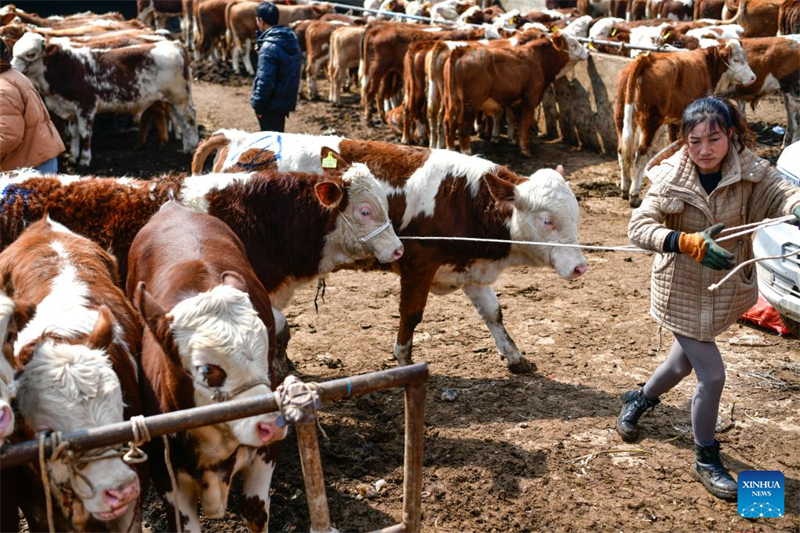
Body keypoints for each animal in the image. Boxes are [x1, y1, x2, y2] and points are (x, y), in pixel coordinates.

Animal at [11, 31, 198, 164]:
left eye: (31, 54)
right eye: (13, 51)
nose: (12, 68)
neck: (68, 68)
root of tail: (175, 44)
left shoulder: (86, 106)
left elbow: (85, 133)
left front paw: (85, 159)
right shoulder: (70, 109)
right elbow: (73, 133)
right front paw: (73, 156)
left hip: (180, 96)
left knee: (189, 119)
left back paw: (194, 147)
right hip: (172, 99)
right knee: (181, 120)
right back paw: (187, 147)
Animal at [126, 201, 286, 532]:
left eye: (265, 351)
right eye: (206, 370)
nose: (271, 424)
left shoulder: (265, 454)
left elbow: (254, 511)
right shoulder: (166, 477)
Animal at [188, 132, 588, 374]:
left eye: (576, 215)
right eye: (548, 220)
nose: (581, 267)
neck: (463, 198)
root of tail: (239, 138)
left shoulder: (469, 268)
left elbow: (494, 313)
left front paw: (515, 356)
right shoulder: (418, 265)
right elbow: (411, 315)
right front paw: (403, 359)